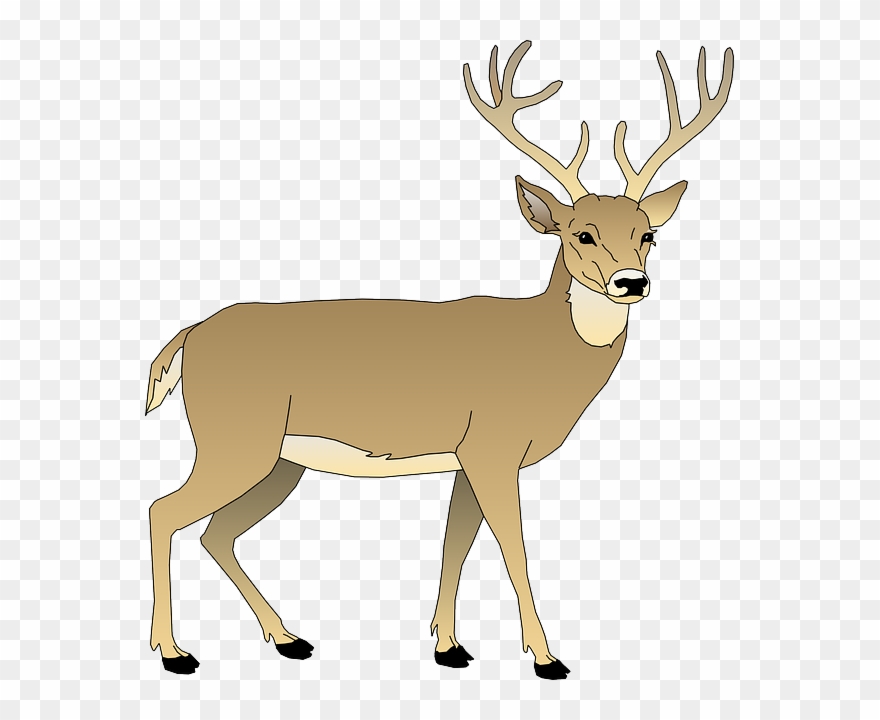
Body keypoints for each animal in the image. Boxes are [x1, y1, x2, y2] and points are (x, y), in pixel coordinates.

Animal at [145, 40, 734, 679]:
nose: (632, 282)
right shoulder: (493, 447)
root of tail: (189, 336)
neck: (543, 355)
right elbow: (513, 548)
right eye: (581, 234)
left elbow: (456, 543)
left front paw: (448, 647)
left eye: (648, 234)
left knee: (215, 534)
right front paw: (546, 657)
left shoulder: (467, 456)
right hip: (235, 439)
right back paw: (175, 653)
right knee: (163, 511)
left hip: (280, 459)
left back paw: (288, 638)